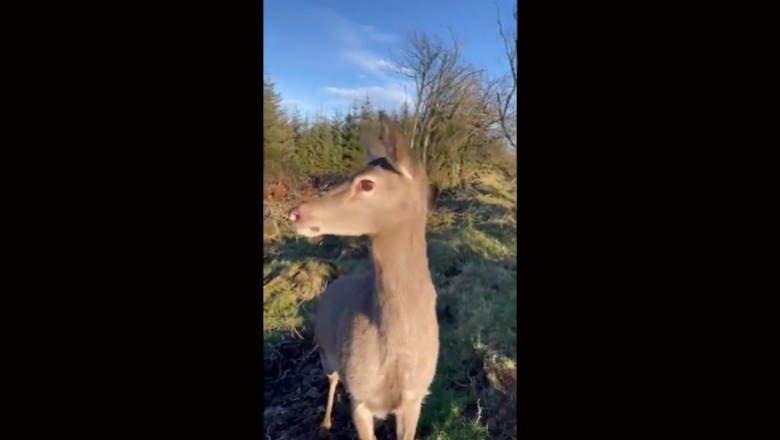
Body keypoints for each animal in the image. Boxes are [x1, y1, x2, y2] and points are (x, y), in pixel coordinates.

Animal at [290, 114, 442, 440]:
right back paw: (325, 423)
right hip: (327, 353)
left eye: (367, 183)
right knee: (332, 379)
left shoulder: (416, 397)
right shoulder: (360, 396)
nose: (295, 213)